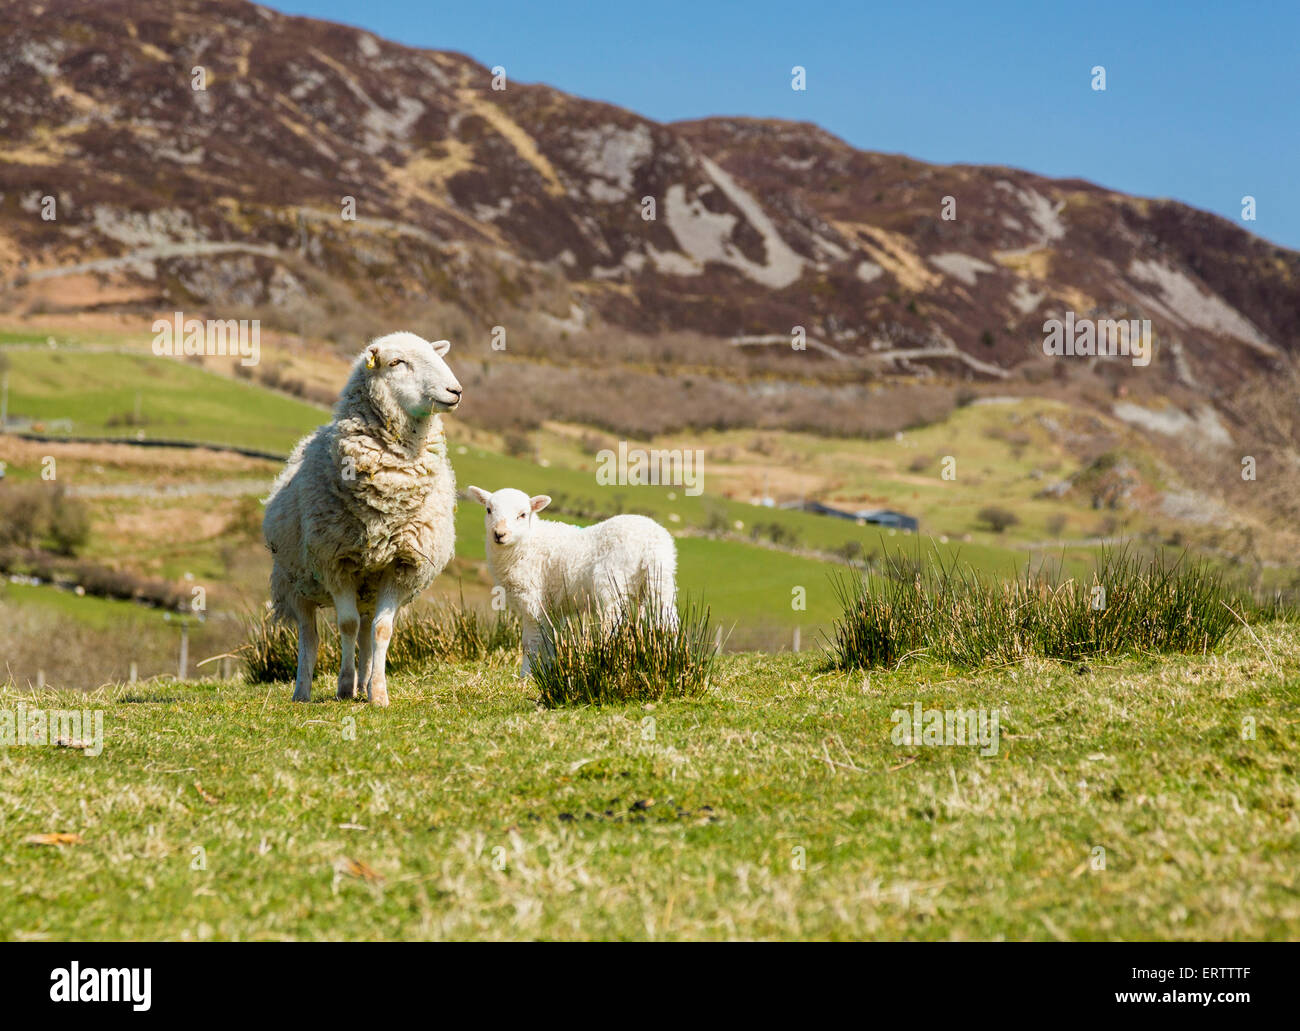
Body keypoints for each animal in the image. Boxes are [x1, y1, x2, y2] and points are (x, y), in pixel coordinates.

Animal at [261, 332, 465, 702]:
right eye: (397, 362)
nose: (455, 391)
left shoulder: (401, 565)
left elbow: (382, 630)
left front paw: (378, 694)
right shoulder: (336, 562)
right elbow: (346, 625)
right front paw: (344, 685)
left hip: (368, 587)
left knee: (368, 631)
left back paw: (365, 683)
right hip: (295, 583)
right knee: (310, 634)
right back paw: (303, 692)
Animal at [465, 483, 681, 676]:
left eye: (523, 515)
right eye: (488, 510)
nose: (499, 534)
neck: (528, 543)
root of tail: (651, 543)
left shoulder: (532, 599)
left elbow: (530, 643)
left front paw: (525, 676)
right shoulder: (551, 606)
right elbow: (549, 641)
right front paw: (547, 673)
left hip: (612, 581)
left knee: (613, 624)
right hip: (662, 579)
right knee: (668, 622)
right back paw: (669, 661)